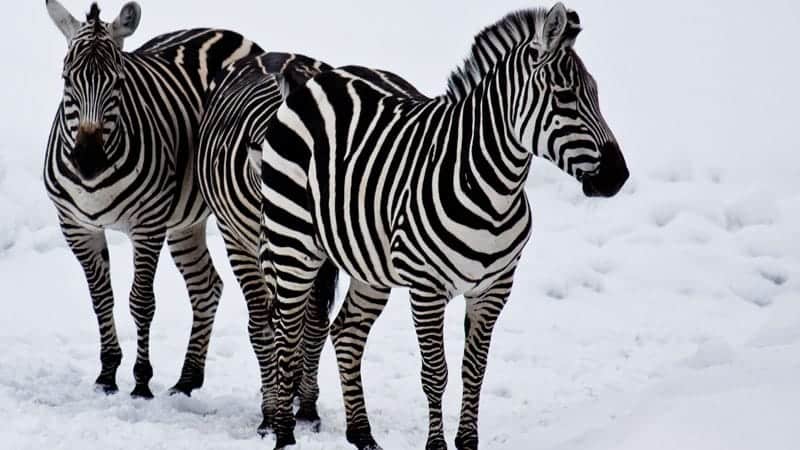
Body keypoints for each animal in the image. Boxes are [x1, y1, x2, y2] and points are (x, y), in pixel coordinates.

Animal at [44, 0, 260, 399]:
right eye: (66, 80)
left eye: (118, 83)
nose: (88, 161)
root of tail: (225, 32)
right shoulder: (77, 227)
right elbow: (101, 299)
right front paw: (107, 375)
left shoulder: (147, 224)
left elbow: (141, 302)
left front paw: (141, 381)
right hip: (186, 221)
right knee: (207, 286)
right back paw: (188, 378)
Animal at [260, 3, 629, 449]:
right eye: (565, 97)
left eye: (595, 93)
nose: (618, 177)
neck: (492, 189)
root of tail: (319, 78)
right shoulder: (427, 287)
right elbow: (436, 374)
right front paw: (436, 444)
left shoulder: (494, 289)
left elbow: (475, 371)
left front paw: (467, 442)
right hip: (291, 241)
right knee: (286, 331)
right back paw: (283, 433)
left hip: (369, 263)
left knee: (346, 333)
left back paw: (363, 435)